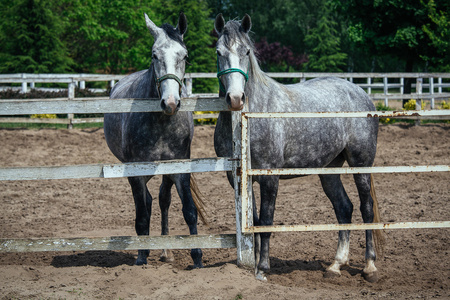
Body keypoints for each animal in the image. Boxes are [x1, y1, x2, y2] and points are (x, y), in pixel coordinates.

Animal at [103, 12, 204, 268]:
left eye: (185, 56)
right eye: (154, 55)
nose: (170, 103)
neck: (161, 123)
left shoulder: (178, 168)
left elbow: (189, 210)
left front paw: (197, 256)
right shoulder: (136, 172)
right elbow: (141, 215)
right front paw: (141, 256)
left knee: (162, 199)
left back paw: (166, 251)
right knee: (146, 203)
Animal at [214, 13, 384, 282]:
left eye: (246, 51)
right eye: (219, 51)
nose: (235, 98)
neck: (251, 116)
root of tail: (361, 93)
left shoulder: (270, 177)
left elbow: (267, 220)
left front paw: (263, 268)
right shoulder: (240, 179)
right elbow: (255, 220)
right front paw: (256, 265)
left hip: (361, 164)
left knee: (366, 209)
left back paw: (370, 266)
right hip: (329, 171)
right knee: (344, 208)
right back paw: (336, 265)